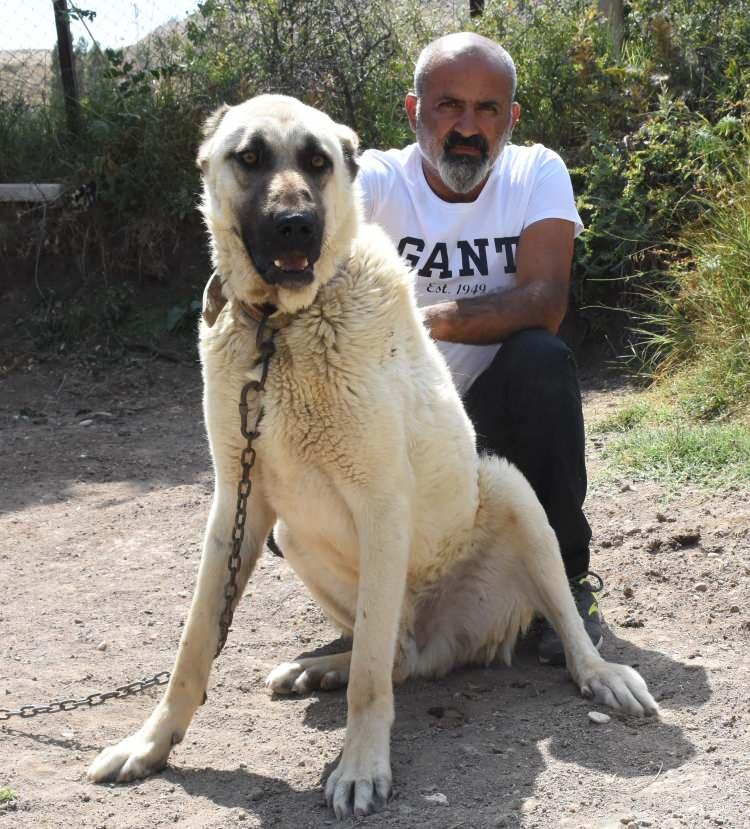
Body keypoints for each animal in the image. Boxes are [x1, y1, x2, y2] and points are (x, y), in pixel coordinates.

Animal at [88, 94, 660, 820]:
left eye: (317, 162)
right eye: (249, 157)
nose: (297, 227)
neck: (279, 331)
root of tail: (442, 636)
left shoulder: (382, 504)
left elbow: (368, 681)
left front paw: (360, 765)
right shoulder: (236, 508)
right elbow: (193, 646)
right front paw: (150, 742)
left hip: (511, 492)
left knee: (432, 645)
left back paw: (597, 671)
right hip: (291, 533)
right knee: (392, 654)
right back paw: (318, 667)